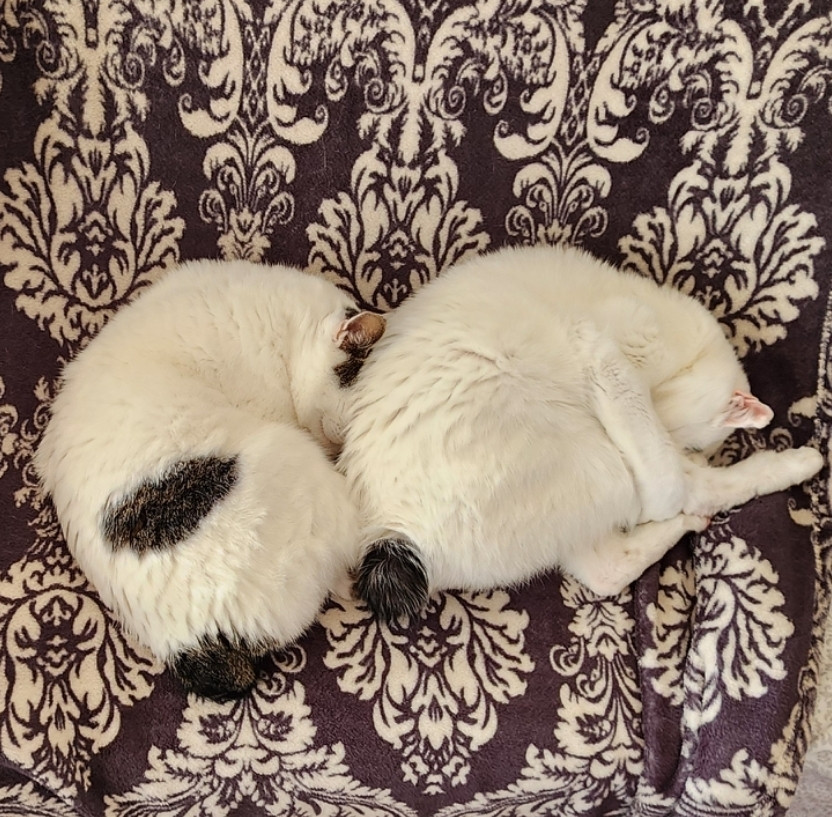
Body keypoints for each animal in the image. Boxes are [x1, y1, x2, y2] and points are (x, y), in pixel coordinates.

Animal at [340, 245, 824, 620]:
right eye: (686, 439)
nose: (686, 451)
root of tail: (392, 529)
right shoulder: (612, 361)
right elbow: (666, 476)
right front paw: (671, 493)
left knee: (605, 570)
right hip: (594, 458)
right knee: (688, 496)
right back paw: (796, 464)